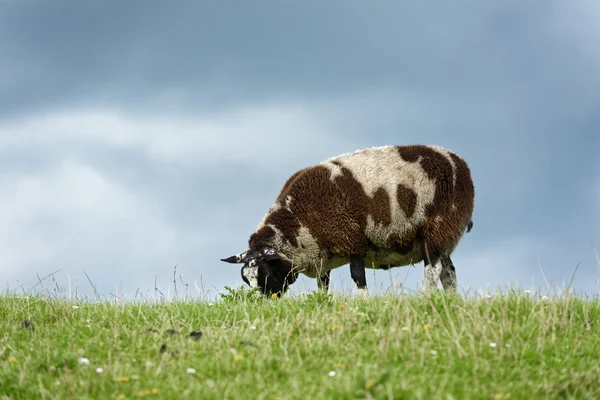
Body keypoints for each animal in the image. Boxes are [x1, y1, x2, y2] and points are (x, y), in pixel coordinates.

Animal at [220, 144, 474, 296]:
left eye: (267, 274)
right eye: (246, 280)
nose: (262, 304)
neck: (298, 225)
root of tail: (458, 162)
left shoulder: (352, 239)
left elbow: (358, 277)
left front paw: (364, 302)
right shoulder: (321, 256)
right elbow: (323, 285)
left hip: (438, 226)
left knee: (433, 269)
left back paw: (426, 297)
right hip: (443, 235)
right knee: (449, 272)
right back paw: (449, 301)